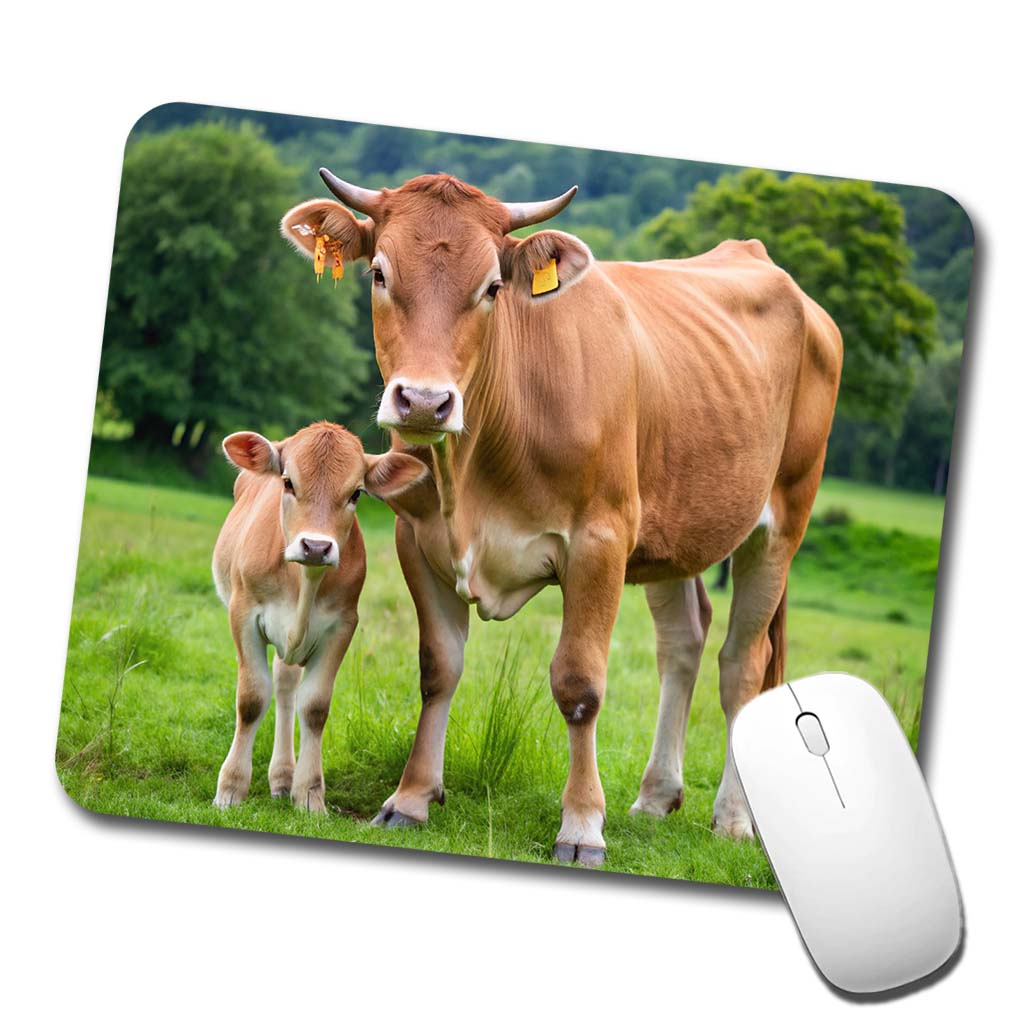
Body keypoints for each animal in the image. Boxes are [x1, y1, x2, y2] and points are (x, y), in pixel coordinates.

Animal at [212, 420, 427, 811]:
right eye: (287, 482)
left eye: (356, 493)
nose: (315, 546)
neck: (304, 582)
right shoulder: (243, 612)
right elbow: (251, 698)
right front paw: (231, 789)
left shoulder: (342, 625)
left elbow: (313, 706)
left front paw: (309, 795)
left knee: (286, 687)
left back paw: (283, 776)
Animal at [281, 173, 842, 864]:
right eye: (379, 273)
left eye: (493, 286)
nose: (426, 402)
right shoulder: (418, 538)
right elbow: (438, 669)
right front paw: (410, 799)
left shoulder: (600, 542)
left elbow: (579, 685)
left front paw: (581, 827)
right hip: (673, 530)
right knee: (683, 643)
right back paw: (656, 795)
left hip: (781, 523)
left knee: (745, 665)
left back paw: (733, 817)